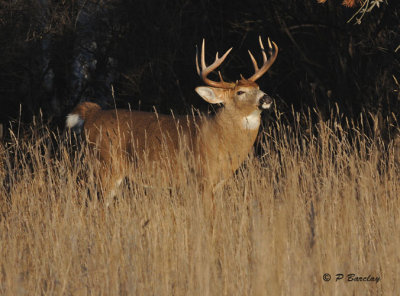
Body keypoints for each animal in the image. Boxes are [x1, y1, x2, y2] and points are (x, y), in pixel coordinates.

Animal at [65, 35, 278, 195]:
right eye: (240, 92)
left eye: (257, 86)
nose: (266, 98)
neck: (218, 137)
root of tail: (92, 114)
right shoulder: (201, 178)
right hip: (106, 165)